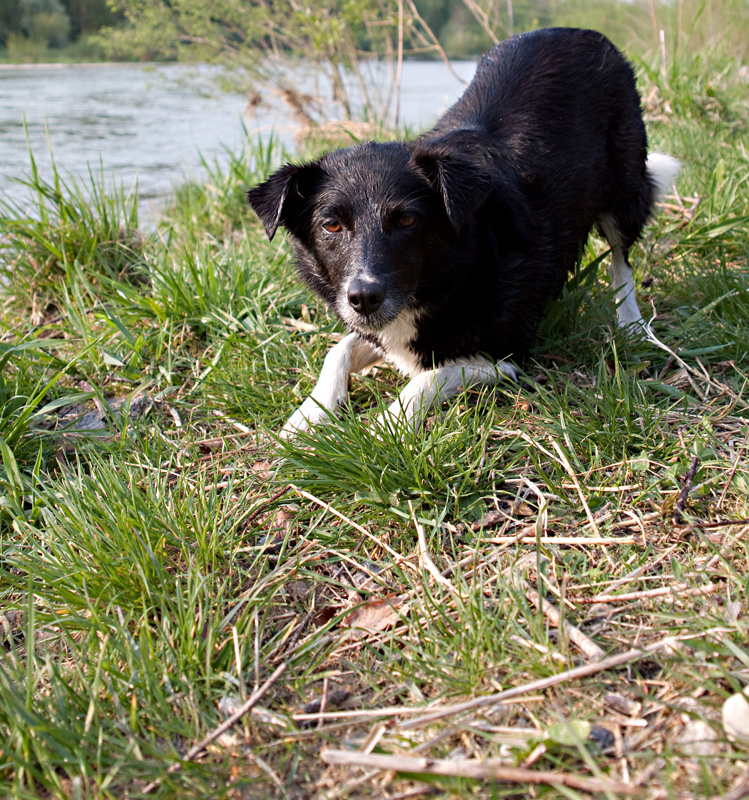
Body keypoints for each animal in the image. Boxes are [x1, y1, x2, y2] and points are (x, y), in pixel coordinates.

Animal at [248, 28, 680, 438]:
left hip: (623, 189)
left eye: (407, 221)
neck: (452, 273)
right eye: (332, 225)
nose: (364, 298)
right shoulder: (378, 329)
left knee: (621, 259)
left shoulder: (502, 355)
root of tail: (577, 30)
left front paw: (384, 427)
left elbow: (427, 378)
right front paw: (306, 417)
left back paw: (631, 323)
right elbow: (337, 351)